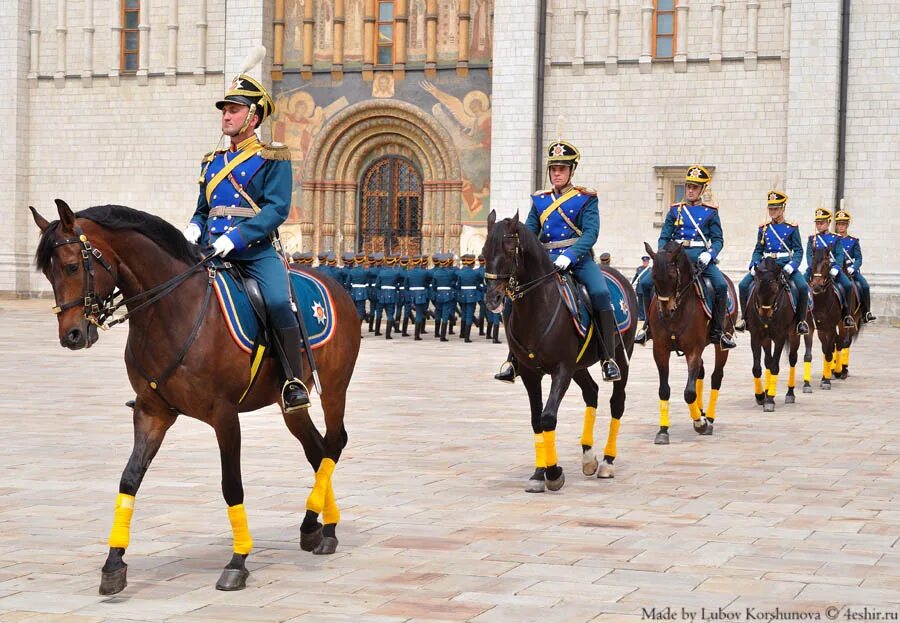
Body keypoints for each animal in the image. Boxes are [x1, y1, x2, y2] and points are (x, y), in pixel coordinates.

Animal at [31, 200, 362, 596]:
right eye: (47, 273)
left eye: (71, 266)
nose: (73, 335)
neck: (171, 309)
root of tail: (334, 282)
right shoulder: (151, 412)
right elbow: (129, 479)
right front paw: (113, 563)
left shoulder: (224, 415)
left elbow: (231, 485)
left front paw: (237, 561)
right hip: (290, 403)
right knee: (316, 449)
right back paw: (318, 526)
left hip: (335, 388)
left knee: (334, 443)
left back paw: (324, 527)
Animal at [482, 212, 636, 494]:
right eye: (484, 252)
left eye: (509, 250)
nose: (492, 299)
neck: (536, 308)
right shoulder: (531, 374)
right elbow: (536, 420)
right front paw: (538, 473)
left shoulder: (561, 369)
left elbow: (548, 417)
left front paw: (553, 473)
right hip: (579, 366)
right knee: (591, 392)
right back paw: (588, 456)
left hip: (620, 356)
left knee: (616, 402)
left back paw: (607, 461)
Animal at [644, 241, 736, 446]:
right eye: (653, 277)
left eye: (672, 276)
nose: (666, 311)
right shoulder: (660, 350)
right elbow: (664, 390)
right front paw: (663, 431)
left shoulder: (693, 349)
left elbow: (689, 393)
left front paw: (700, 424)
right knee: (700, 372)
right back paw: (701, 412)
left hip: (722, 342)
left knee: (716, 377)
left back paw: (708, 419)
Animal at [744, 256, 816, 412]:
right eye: (757, 289)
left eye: (775, 290)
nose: (764, 315)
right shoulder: (756, 336)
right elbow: (758, 367)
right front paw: (761, 396)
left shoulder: (780, 337)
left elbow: (775, 366)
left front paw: (770, 399)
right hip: (766, 338)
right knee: (768, 361)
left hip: (794, 335)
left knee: (792, 359)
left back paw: (790, 393)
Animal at [808, 246, 864, 388]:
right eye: (812, 262)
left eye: (827, 263)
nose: (816, 286)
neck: (821, 302)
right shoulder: (821, 328)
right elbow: (826, 349)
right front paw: (828, 372)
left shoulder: (832, 327)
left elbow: (831, 349)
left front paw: (826, 379)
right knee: (838, 342)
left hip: (848, 322)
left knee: (843, 342)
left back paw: (841, 370)